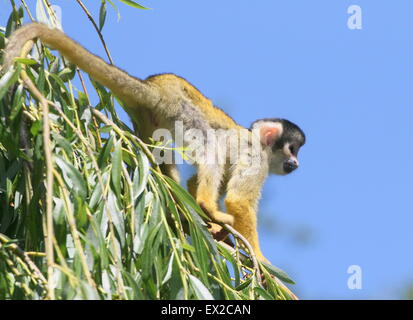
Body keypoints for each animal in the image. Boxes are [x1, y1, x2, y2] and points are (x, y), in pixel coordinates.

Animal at [1, 21, 304, 262]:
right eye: (292, 149)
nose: (296, 163)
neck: (259, 143)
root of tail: (153, 89)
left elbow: (200, 182)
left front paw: (217, 230)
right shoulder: (257, 160)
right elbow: (239, 200)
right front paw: (262, 260)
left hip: (149, 123)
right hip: (182, 111)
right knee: (209, 148)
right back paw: (206, 205)